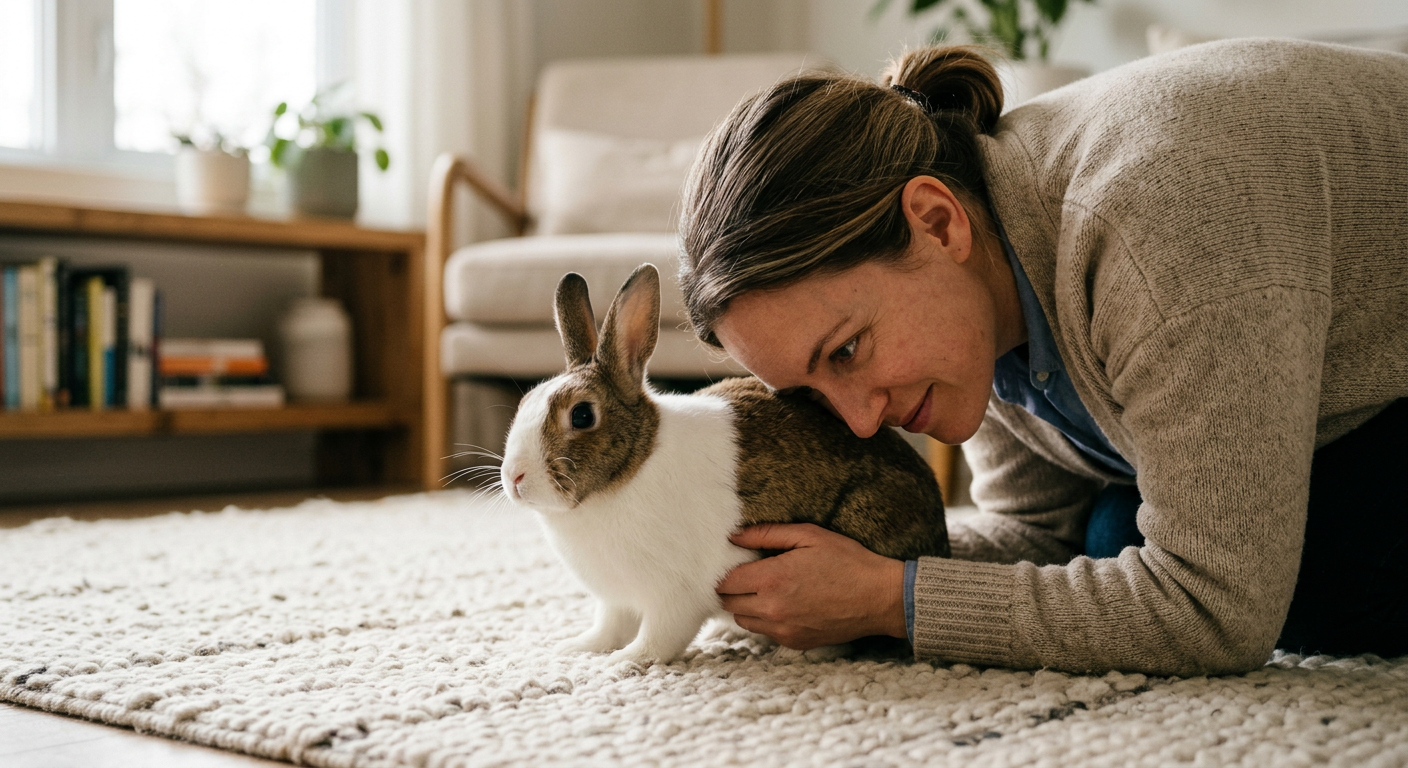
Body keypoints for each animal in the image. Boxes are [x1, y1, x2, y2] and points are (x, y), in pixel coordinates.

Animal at [500, 263, 948, 664]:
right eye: (526, 401)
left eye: (581, 416)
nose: (514, 478)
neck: (629, 470)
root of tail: (937, 536)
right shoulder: (617, 599)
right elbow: (610, 626)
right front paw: (578, 648)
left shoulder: (676, 593)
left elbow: (659, 637)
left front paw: (624, 662)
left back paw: (792, 653)